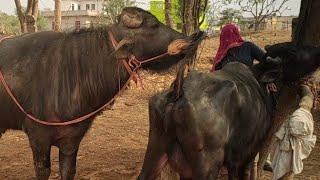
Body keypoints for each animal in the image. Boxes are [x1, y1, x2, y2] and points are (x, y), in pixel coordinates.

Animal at [0, 6, 204, 180]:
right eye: (153, 25)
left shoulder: (71, 139)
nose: (195, 36)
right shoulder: (38, 137)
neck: (70, 70)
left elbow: (68, 170)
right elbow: (43, 170)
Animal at [138, 41, 320, 179]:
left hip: (155, 151)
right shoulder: (246, 155)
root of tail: (178, 92)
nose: (316, 49)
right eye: (293, 51)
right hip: (208, 166)